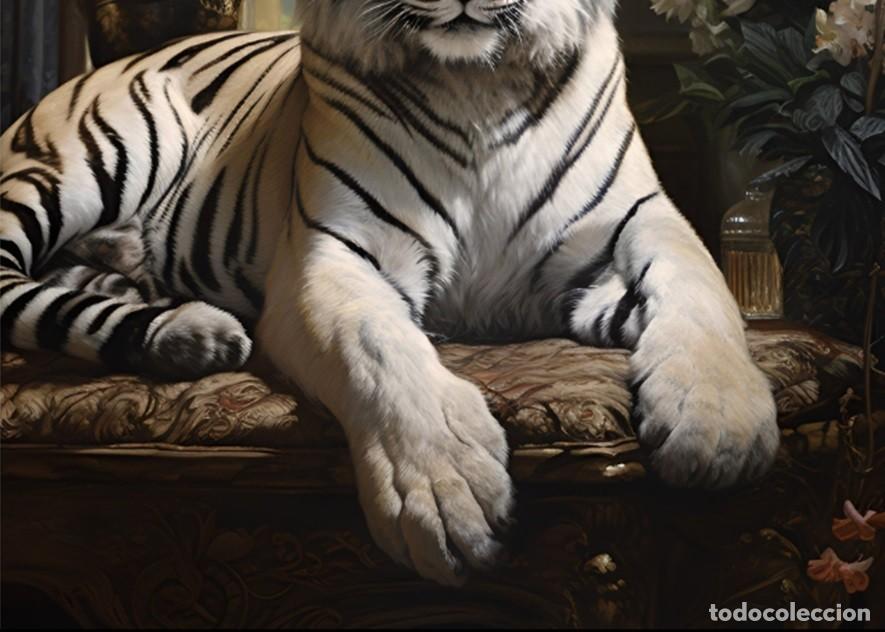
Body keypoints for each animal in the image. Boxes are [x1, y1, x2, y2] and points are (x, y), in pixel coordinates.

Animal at [0, 0, 780, 586]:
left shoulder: (640, 220)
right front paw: (443, 496)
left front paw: (718, 427)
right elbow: (377, 344)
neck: (477, 82)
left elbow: (701, 287)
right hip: (85, 161)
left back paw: (188, 334)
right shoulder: (330, 257)